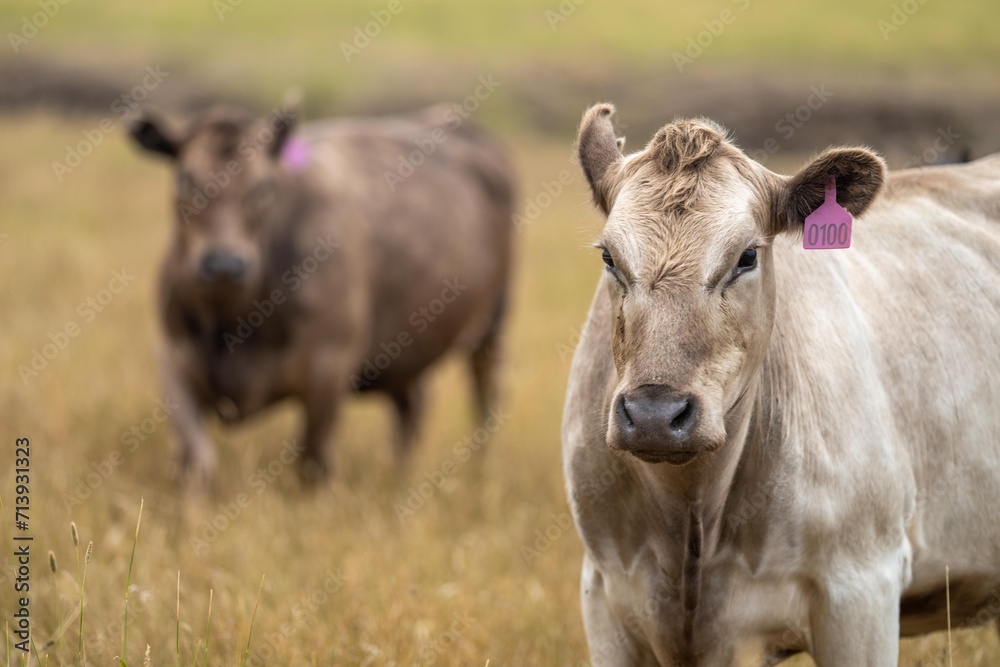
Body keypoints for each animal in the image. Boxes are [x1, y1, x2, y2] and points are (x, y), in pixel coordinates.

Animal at [128, 99, 512, 482]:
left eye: (264, 188)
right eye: (185, 179)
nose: (224, 264)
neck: (231, 322)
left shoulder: (330, 368)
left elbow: (314, 462)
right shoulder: (173, 361)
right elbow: (197, 460)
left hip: (493, 323)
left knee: (485, 396)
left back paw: (481, 467)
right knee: (412, 405)